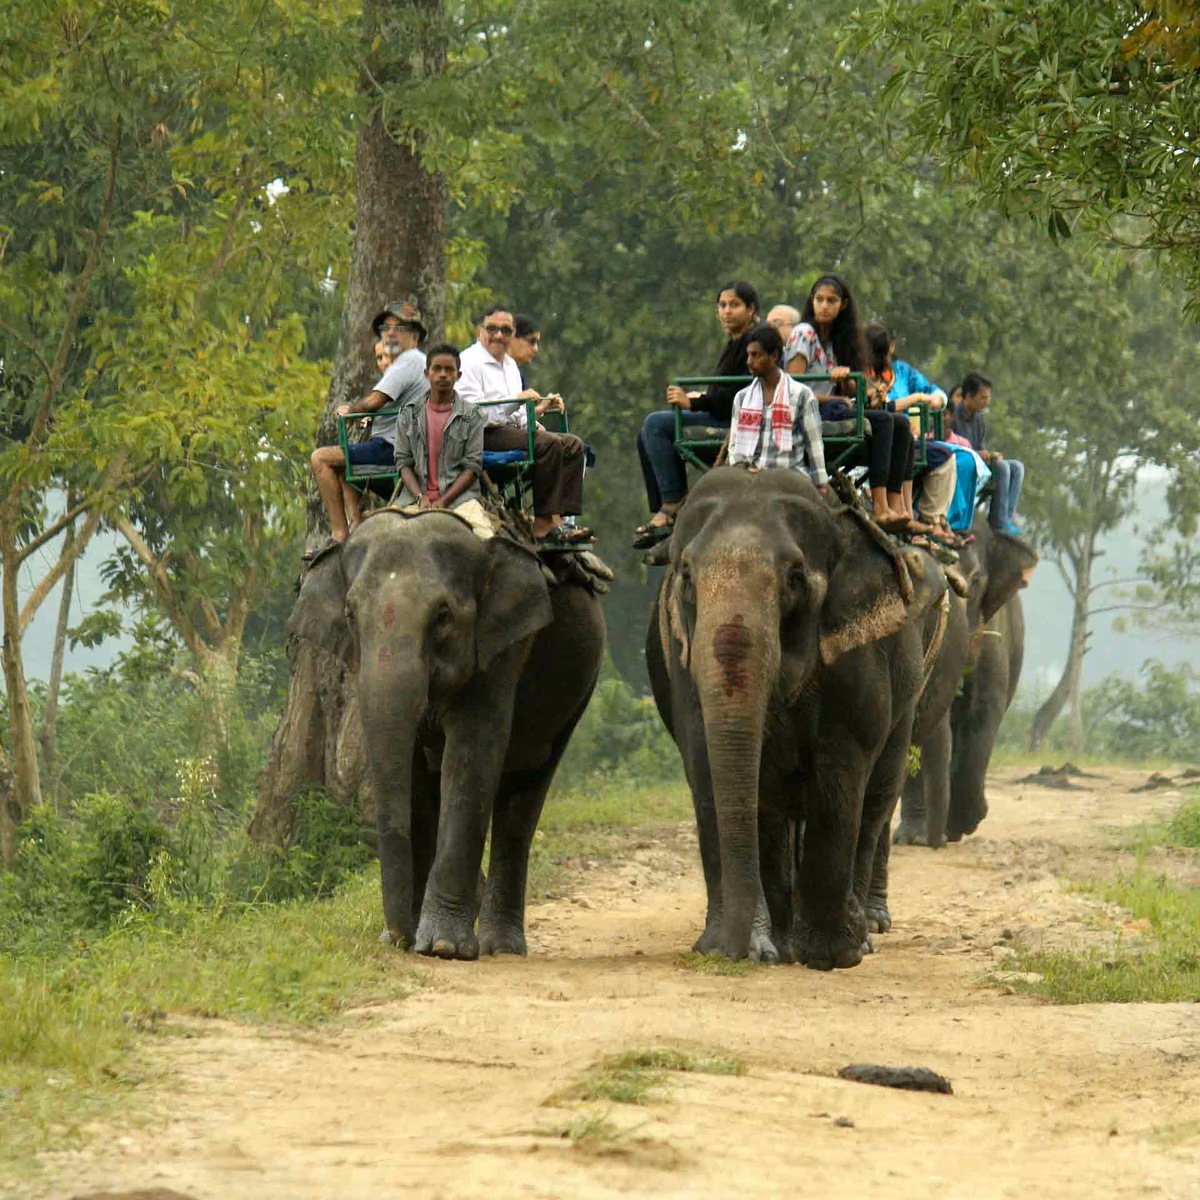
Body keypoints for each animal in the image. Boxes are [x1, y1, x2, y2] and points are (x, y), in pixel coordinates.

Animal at [289, 508, 605, 959]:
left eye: (443, 616)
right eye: (350, 615)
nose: (398, 937)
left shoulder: (502, 648)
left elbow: (472, 753)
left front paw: (442, 946)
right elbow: (412, 774)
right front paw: (412, 937)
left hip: (577, 691)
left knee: (523, 796)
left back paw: (501, 946)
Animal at [645, 467, 950, 968]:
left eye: (794, 577)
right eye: (686, 576)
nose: (736, 953)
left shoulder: (855, 656)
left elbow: (839, 771)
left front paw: (830, 956)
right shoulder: (681, 659)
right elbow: (711, 767)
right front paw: (747, 948)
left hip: (910, 684)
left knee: (876, 800)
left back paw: (860, 933)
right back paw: (787, 941)